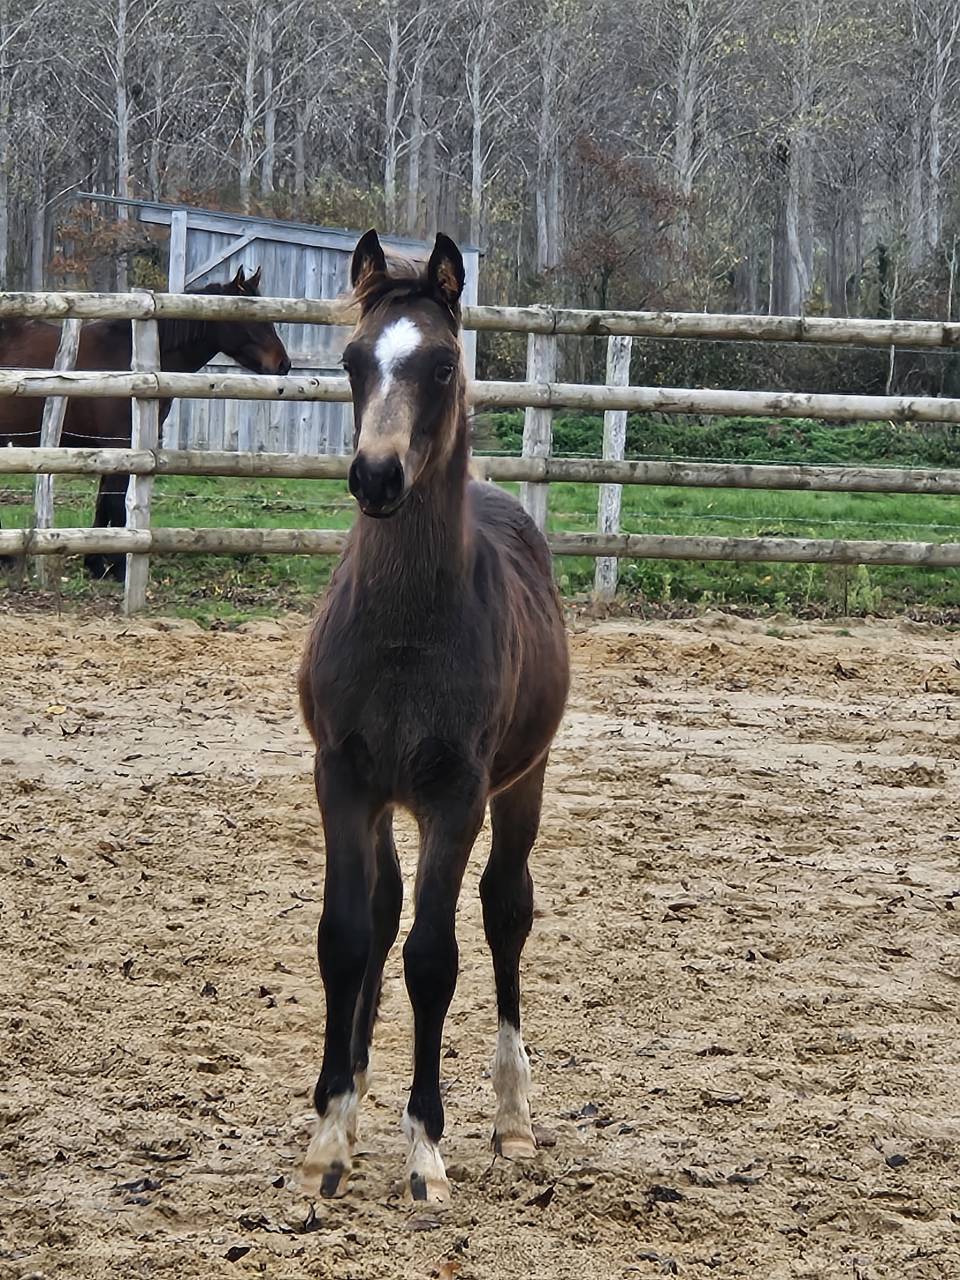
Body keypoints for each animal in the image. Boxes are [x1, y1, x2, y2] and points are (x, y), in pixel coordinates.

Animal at [0, 265, 291, 581]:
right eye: (253, 319)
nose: (283, 364)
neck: (125, 363)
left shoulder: (114, 450)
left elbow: (104, 502)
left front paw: (96, 563)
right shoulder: (121, 445)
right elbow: (116, 503)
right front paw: (118, 567)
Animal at [297, 229, 570, 1203]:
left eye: (445, 365)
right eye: (351, 361)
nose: (377, 476)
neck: (406, 630)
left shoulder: (457, 795)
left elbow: (433, 957)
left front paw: (426, 1151)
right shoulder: (342, 777)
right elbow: (347, 936)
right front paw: (329, 1136)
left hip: (524, 782)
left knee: (505, 910)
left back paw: (513, 1119)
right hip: (385, 798)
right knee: (381, 912)